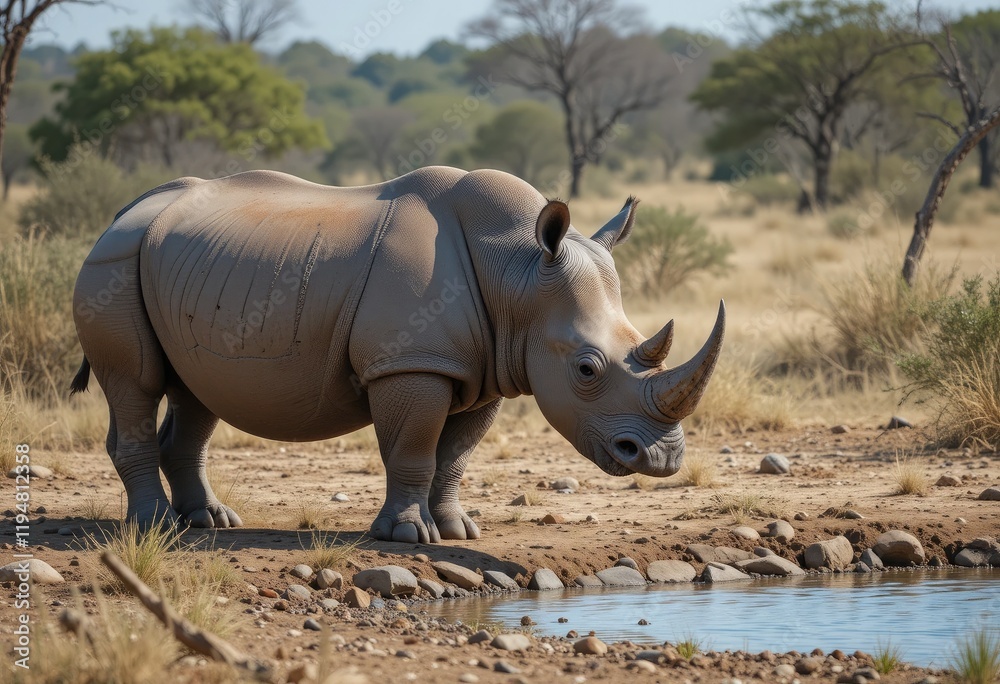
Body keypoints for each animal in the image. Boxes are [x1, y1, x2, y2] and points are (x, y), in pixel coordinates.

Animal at [71, 166, 724, 543]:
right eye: (586, 369)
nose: (661, 460)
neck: (516, 271)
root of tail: (118, 215)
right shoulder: (412, 363)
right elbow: (413, 447)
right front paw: (410, 538)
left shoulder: (483, 367)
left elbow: (454, 455)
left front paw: (458, 531)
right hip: (113, 262)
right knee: (135, 382)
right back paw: (156, 527)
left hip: (187, 270)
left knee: (197, 391)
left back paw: (210, 522)